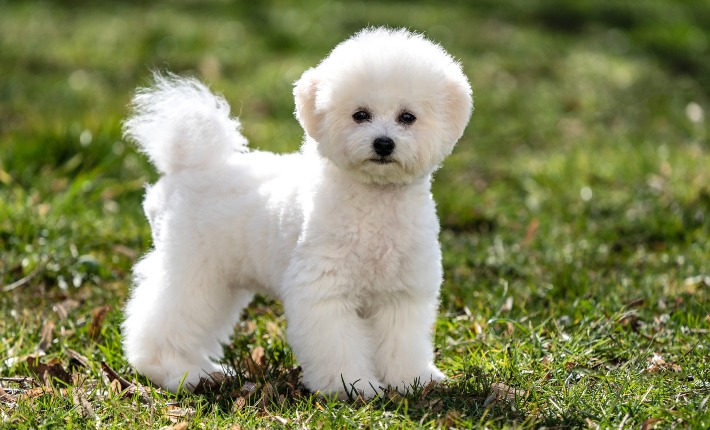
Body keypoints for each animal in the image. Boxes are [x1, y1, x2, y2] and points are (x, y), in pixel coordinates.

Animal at [122, 26, 472, 398]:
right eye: (360, 114)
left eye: (407, 117)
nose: (383, 143)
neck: (375, 202)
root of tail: (186, 165)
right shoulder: (323, 292)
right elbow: (337, 346)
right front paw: (354, 387)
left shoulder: (400, 295)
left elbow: (402, 344)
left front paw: (412, 380)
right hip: (192, 271)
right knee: (161, 324)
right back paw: (174, 372)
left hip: (221, 283)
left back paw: (206, 371)